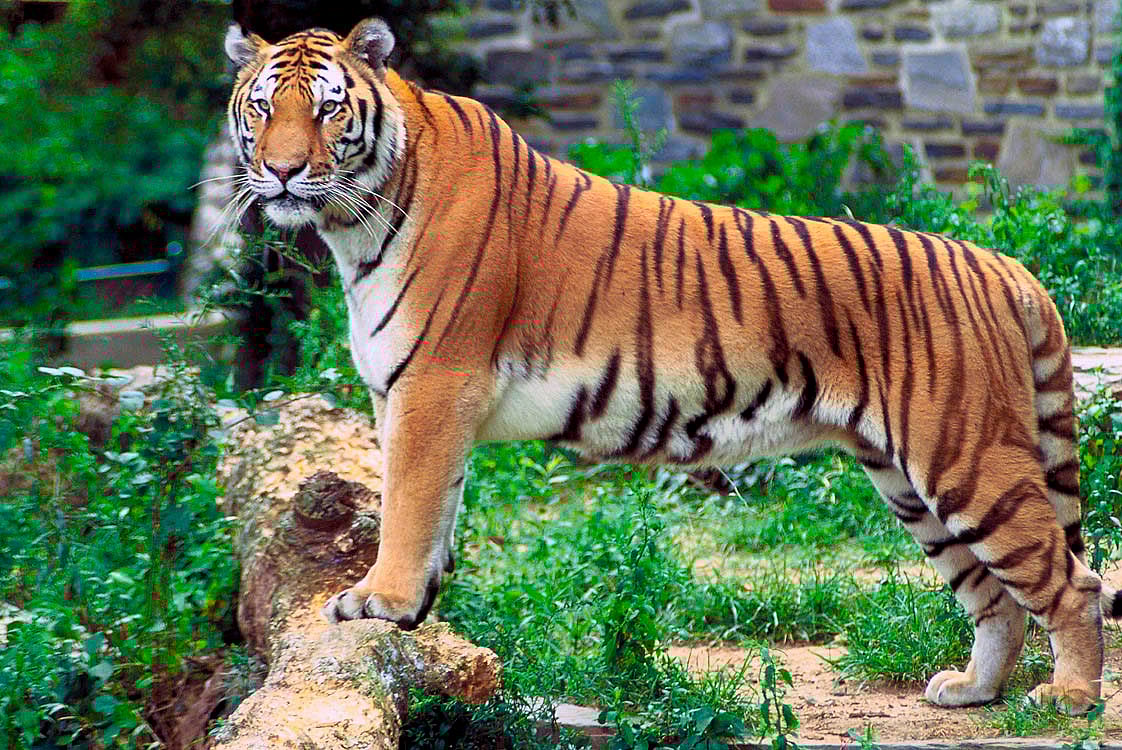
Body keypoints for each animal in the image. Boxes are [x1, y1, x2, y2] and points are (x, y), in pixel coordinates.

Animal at [224, 17, 1119, 714]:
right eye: (263, 108)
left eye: (327, 108)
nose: (283, 170)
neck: (356, 224)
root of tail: (1002, 264)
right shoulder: (409, 397)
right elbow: (435, 507)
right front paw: (417, 611)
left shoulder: (433, 386)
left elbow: (408, 505)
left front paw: (381, 601)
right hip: (909, 482)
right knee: (996, 597)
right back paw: (973, 691)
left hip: (967, 458)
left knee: (1072, 582)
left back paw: (1068, 698)